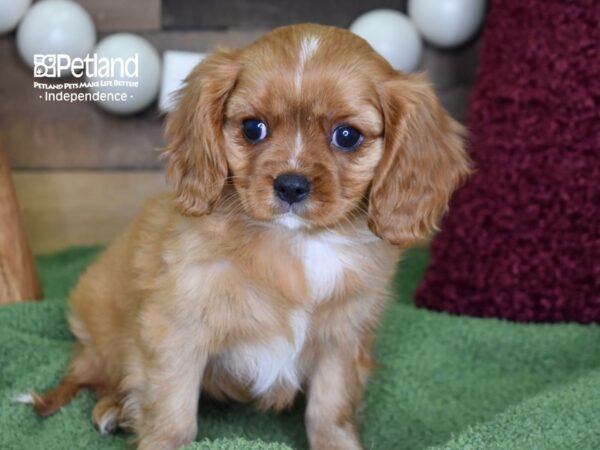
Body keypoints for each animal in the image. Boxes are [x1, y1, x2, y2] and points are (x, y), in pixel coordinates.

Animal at [27, 24, 468, 450]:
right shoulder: (176, 329)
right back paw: (113, 408)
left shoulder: (341, 340)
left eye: (347, 136)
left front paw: (338, 444)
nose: (291, 185)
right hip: (102, 333)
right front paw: (162, 440)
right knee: (91, 375)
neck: (297, 245)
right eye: (253, 128)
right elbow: (172, 411)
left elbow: (329, 410)